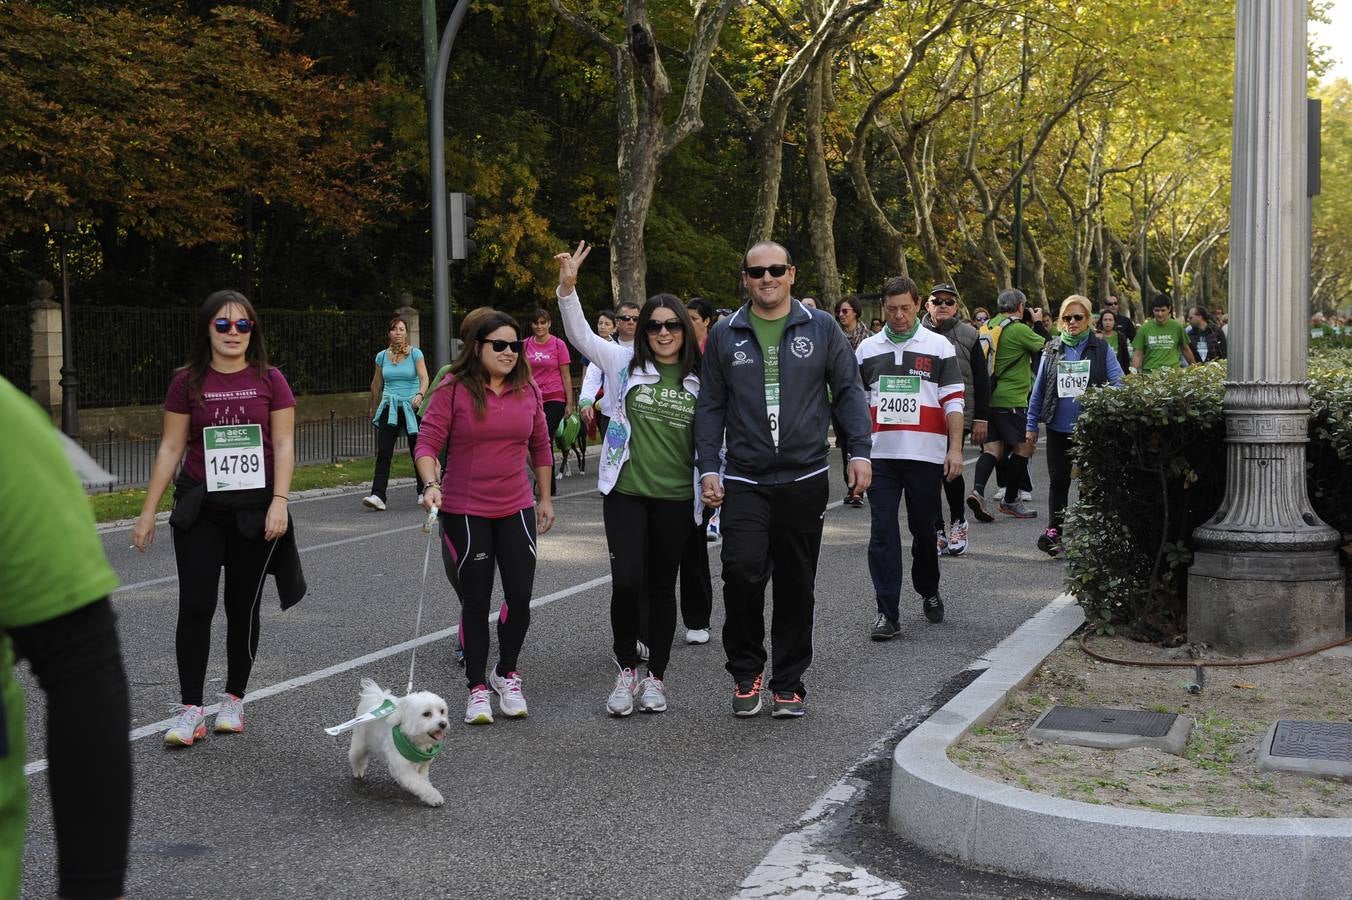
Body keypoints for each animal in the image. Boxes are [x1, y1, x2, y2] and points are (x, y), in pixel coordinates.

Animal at [348, 672, 448, 805]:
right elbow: (420, 783)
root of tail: (377, 698)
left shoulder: (423, 764)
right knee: (356, 756)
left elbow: (422, 779)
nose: (443, 724)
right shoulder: (403, 767)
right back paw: (358, 771)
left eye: (442, 711)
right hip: (361, 742)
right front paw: (434, 797)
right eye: (426, 714)